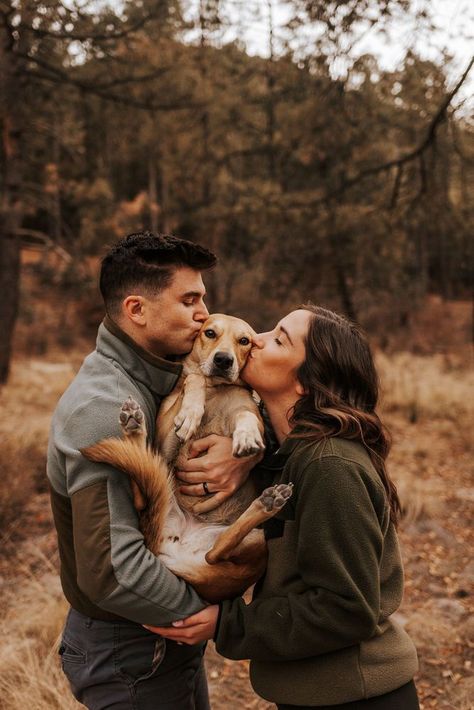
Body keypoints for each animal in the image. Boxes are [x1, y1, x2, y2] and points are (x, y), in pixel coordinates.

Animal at [82, 314, 292, 604]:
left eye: (244, 341)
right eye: (210, 333)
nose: (223, 360)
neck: (215, 392)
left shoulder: (247, 411)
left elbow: (246, 416)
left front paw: (247, 436)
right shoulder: (165, 443)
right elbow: (194, 380)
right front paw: (191, 412)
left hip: (256, 542)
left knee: (216, 551)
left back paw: (267, 503)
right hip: (164, 480)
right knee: (210, 550)